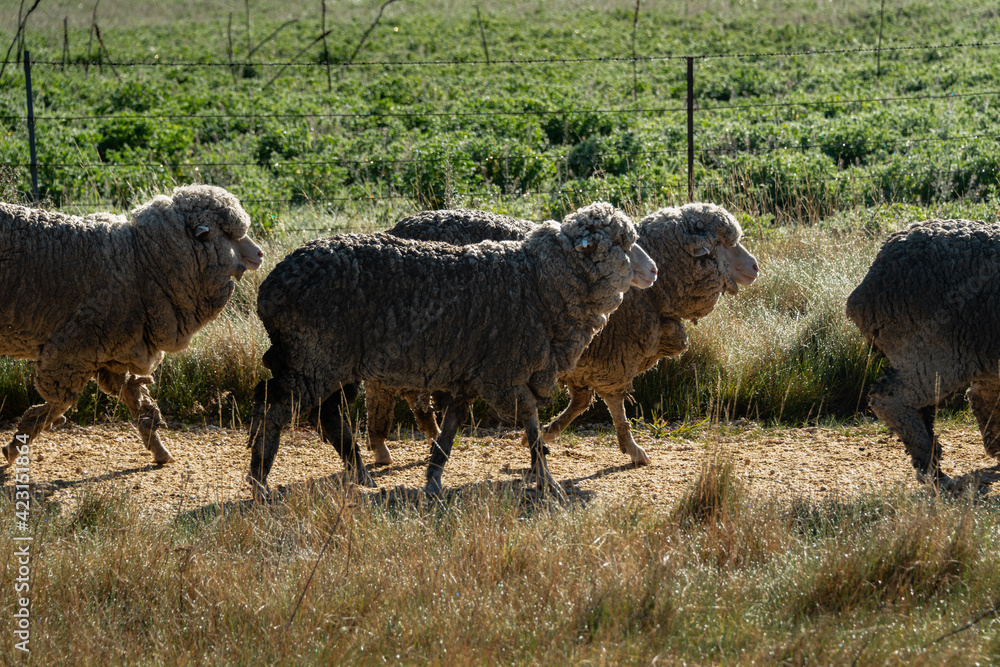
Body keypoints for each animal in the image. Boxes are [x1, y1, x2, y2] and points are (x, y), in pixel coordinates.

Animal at [0, 185, 264, 466]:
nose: (260, 254)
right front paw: (17, 443)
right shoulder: (72, 350)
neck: (141, 261)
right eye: (228, 235)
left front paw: (160, 450)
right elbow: (60, 402)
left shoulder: (115, 352)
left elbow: (136, 401)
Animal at [247, 202, 658, 501]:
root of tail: (269, 287)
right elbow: (530, 422)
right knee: (275, 406)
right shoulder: (504, 371)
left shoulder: (471, 373)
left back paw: (360, 473)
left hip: (324, 360)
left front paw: (433, 479)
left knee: (325, 413)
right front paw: (546, 478)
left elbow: (449, 431)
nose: (653, 271)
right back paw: (260, 482)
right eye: (622, 243)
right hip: (314, 355)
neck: (537, 283)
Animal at [365, 203, 759, 466]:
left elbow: (582, 402)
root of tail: (397, 228)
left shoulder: (586, 359)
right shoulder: (611, 358)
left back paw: (421, 435)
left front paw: (550, 433)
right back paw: (388, 444)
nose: (755, 267)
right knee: (383, 389)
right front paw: (632, 449)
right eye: (723, 244)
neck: (656, 293)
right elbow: (614, 406)